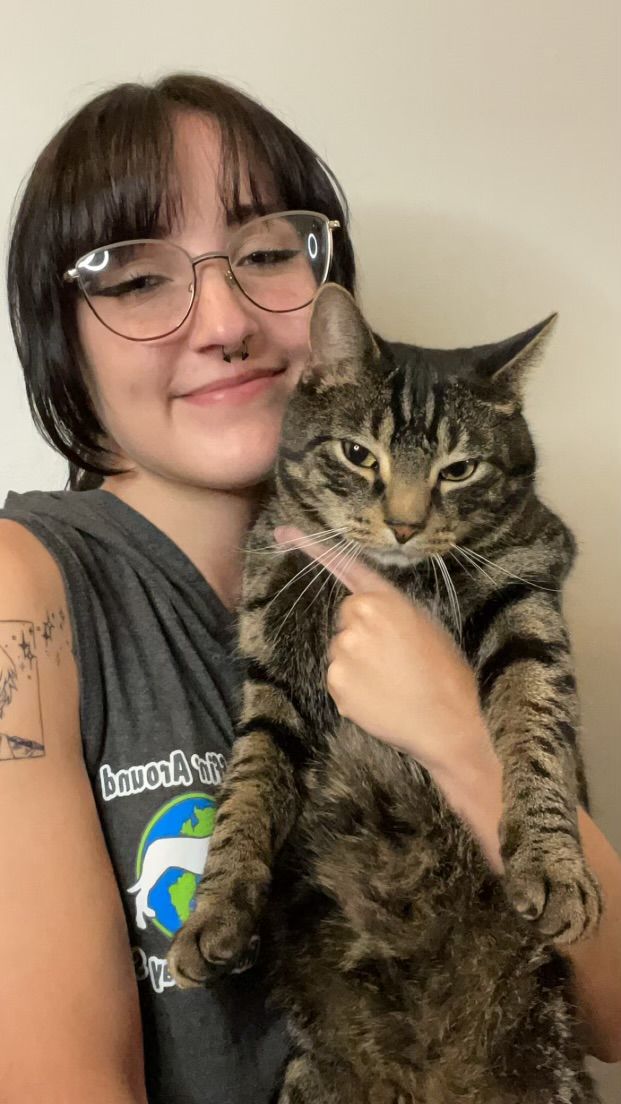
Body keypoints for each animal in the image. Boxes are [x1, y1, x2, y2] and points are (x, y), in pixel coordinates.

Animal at [165, 287, 601, 1104]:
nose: (403, 523)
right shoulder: (271, 665)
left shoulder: (527, 593)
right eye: (357, 454)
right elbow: (245, 789)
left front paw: (555, 862)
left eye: (459, 470)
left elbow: (535, 727)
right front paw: (215, 907)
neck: (390, 579)